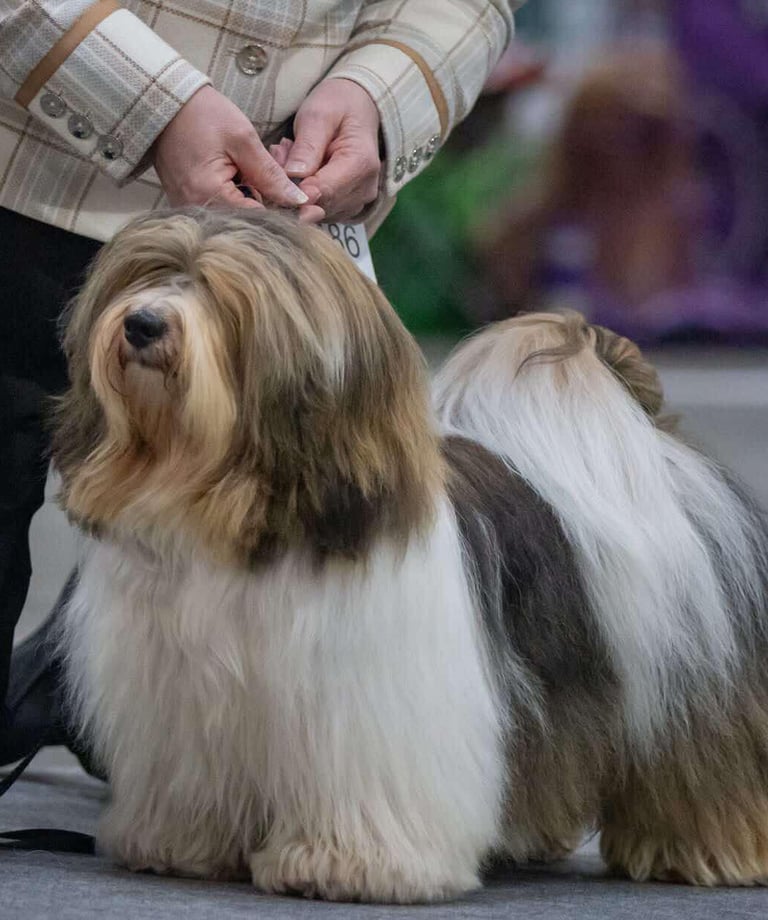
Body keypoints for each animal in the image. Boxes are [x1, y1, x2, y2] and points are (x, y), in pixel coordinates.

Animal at [53, 208, 768, 902]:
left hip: (695, 680)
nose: (143, 323)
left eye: (222, 297)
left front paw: (345, 866)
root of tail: (656, 447)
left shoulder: (365, 708)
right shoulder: (185, 707)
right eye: (149, 274)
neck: (242, 517)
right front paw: (183, 846)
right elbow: (196, 784)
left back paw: (706, 851)